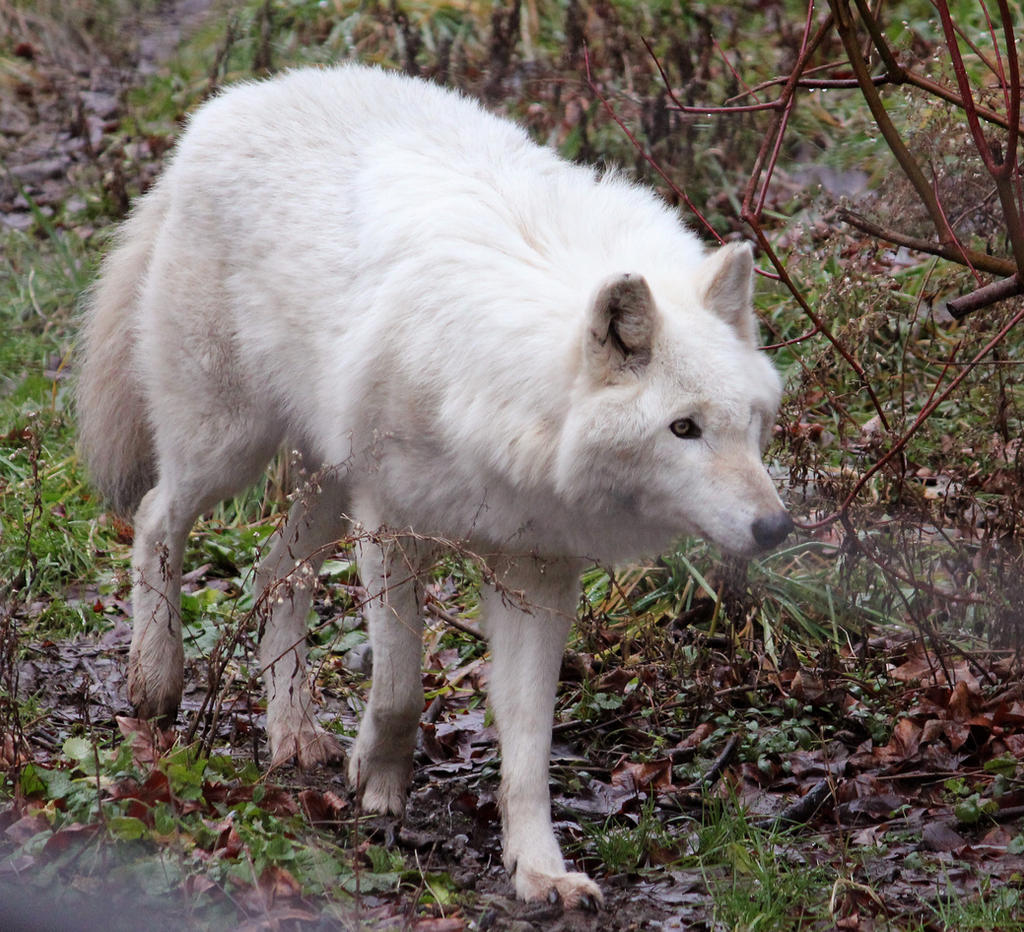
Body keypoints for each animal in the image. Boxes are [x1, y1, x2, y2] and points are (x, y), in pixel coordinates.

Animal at [77, 65, 792, 907]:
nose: (777, 529)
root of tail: (227, 105)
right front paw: (378, 782)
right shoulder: (390, 529)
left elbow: (528, 745)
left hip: (325, 486)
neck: (511, 404)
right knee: (157, 518)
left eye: (750, 424)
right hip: (228, 445)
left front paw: (539, 870)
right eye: (684, 429)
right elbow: (400, 690)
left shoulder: (537, 572)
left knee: (271, 573)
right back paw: (156, 681)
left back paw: (294, 733)